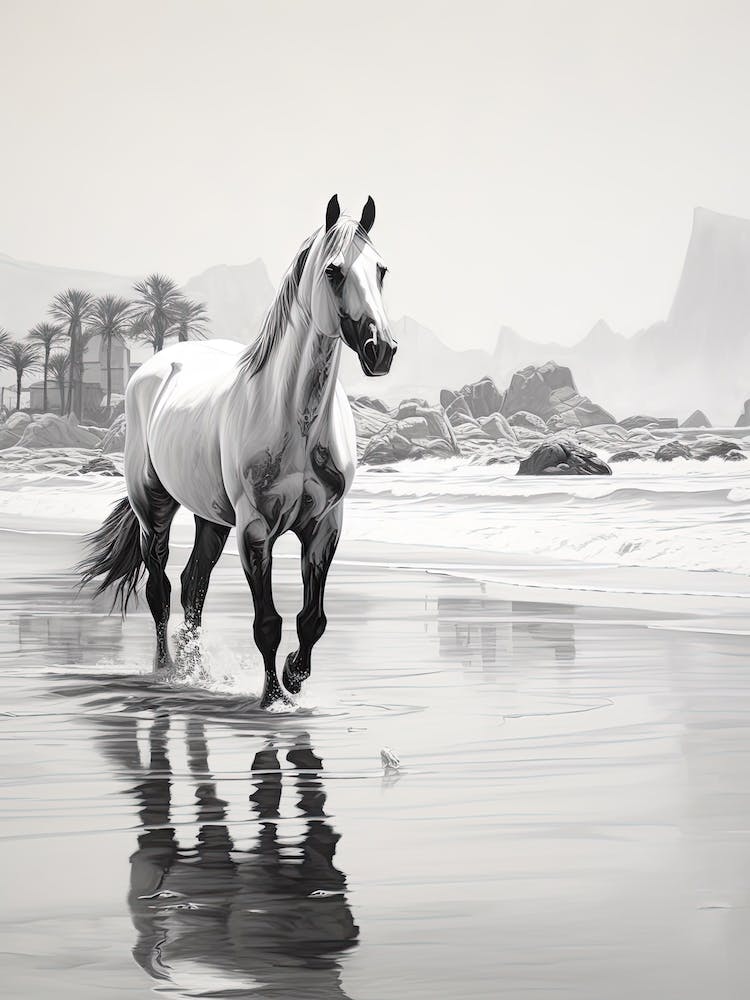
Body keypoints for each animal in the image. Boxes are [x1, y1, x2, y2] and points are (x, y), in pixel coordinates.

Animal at [79, 195, 396, 707]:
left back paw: (197, 670)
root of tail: (154, 368)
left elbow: (312, 620)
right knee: (160, 589)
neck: (295, 420)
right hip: (155, 510)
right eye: (333, 271)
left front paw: (293, 677)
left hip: (211, 517)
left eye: (381, 269)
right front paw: (272, 697)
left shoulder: (325, 525)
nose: (380, 349)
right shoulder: (255, 527)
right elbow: (267, 622)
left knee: (193, 585)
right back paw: (168, 670)